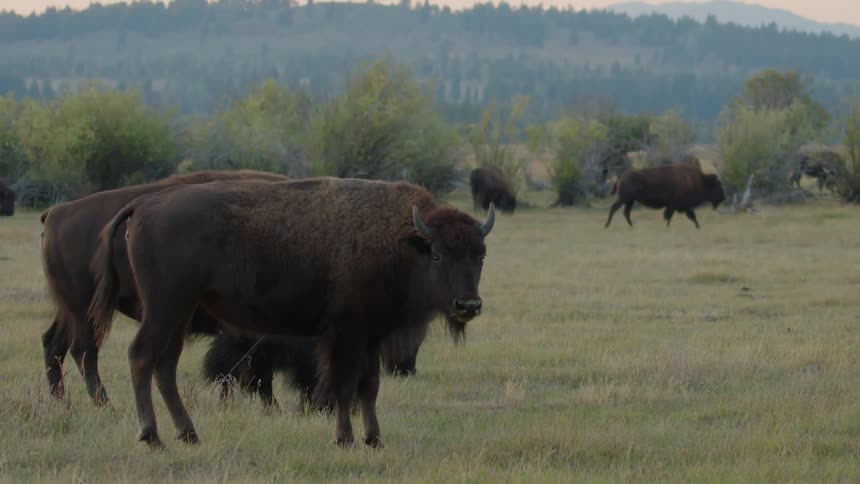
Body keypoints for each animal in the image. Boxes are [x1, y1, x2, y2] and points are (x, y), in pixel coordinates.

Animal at [40, 170, 289, 406]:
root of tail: (56, 213)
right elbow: (250, 370)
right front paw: (270, 407)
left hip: (69, 310)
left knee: (54, 344)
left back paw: (63, 402)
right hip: (85, 310)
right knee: (84, 350)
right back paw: (106, 405)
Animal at [88, 178, 495, 449]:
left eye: (480, 254)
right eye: (438, 254)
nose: (468, 306)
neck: (402, 241)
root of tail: (145, 204)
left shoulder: (370, 337)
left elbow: (370, 386)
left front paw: (374, 440)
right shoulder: (345, 333)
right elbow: (343, 385)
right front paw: (345, 439)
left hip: (179, 314)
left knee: (165, 367)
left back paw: (188, 434)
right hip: (164, 308)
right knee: (141, 357)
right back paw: (152, 436)